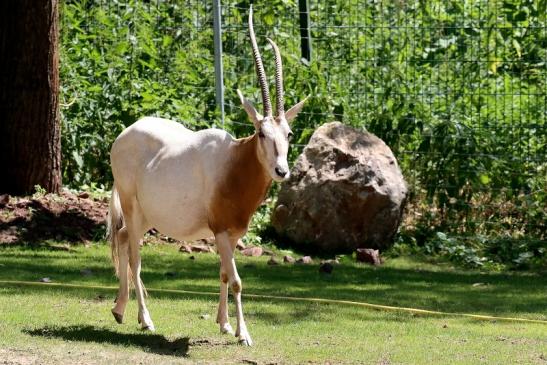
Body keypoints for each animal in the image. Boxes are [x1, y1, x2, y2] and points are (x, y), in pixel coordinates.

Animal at [105, 7, 306, 346]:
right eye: (261, 133)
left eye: (289, 134)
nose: (282, 171)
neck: (234, 164)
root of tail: (122, 137)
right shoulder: (221, 231)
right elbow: (236, 280)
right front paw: (243, 334)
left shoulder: (233, 234)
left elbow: (224, 273)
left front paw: (224, 324)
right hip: (132, 209)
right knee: (134, 255)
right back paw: (145, 320)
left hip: (147, 216)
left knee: (120, 239)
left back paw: (119, 310)